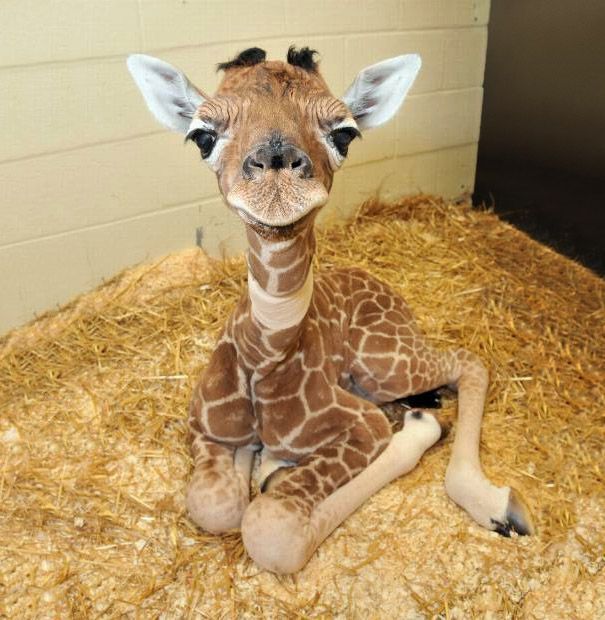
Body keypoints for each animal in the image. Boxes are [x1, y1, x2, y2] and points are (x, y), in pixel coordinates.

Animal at [126, 46, 528, 572]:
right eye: (202, 136)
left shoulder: (363, 426)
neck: (265, 357)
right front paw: (258, 463)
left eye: (344, 133)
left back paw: (492, 501)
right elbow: (216, 504)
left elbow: (270, 529)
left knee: (469, 361)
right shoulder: (204, 427)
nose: (276, 169)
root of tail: (388, 291)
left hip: (385, 364)